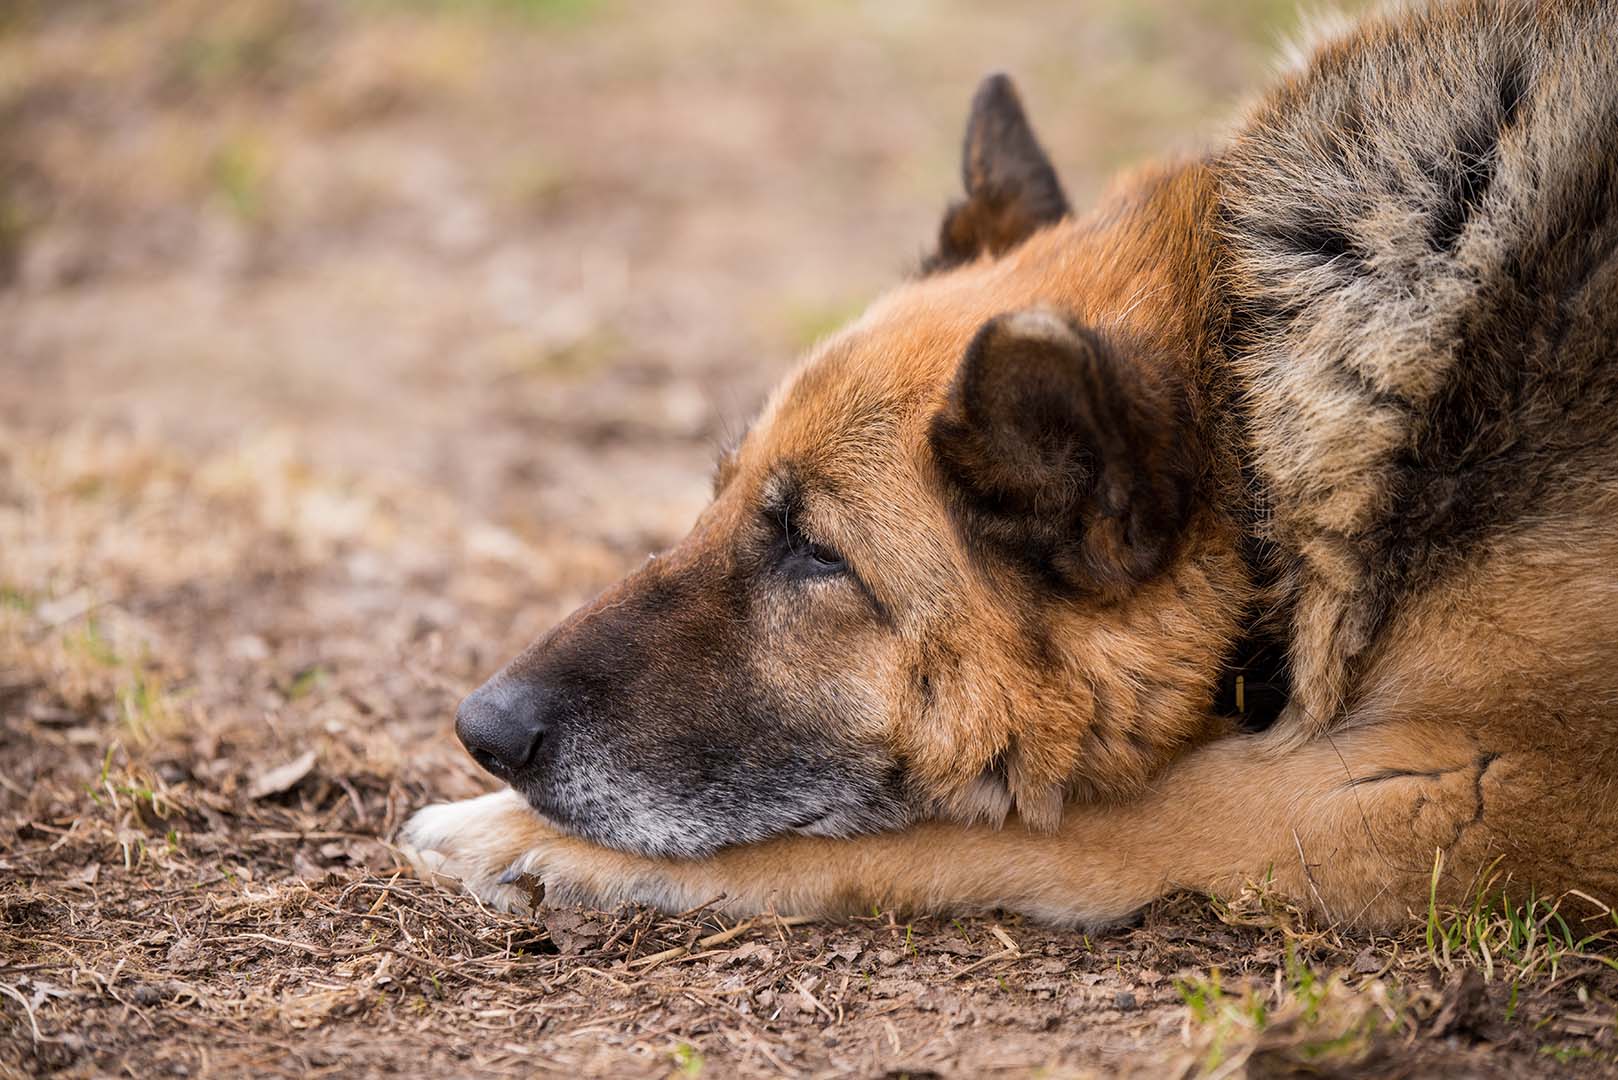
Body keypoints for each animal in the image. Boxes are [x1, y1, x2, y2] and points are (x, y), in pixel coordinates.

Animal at [401, 0, 1618, 932]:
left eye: (814, 552)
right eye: (719, 496)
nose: (481, 732)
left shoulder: (1447, 786)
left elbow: (979, 818)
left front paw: (508, 834)